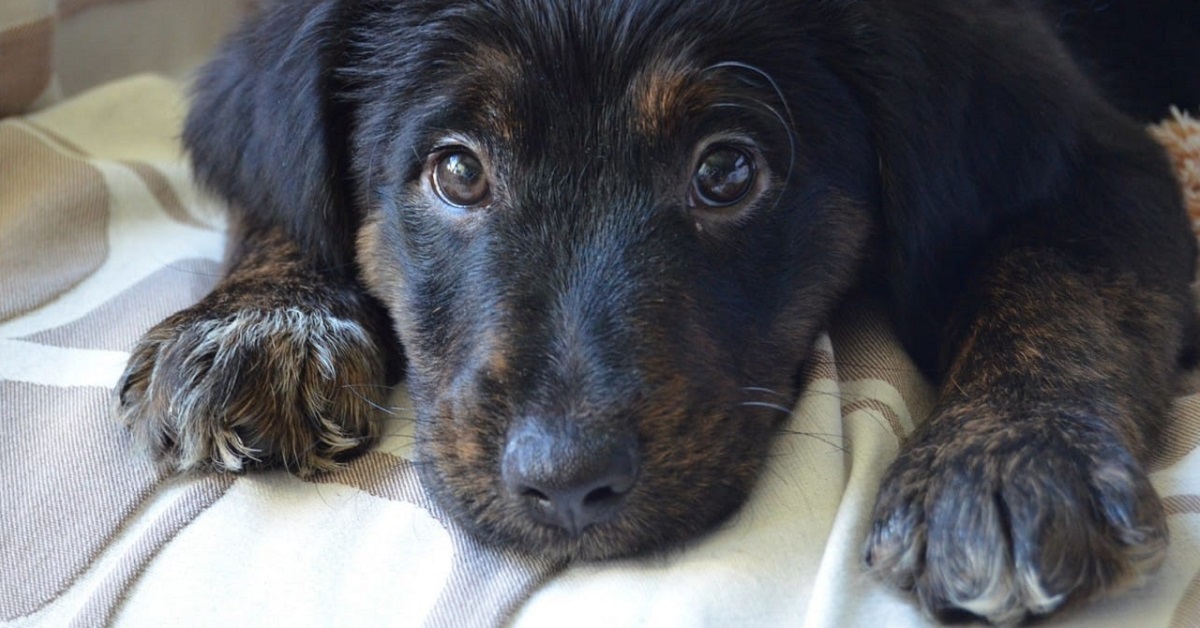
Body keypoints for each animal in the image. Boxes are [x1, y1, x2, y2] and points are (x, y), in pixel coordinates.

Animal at [117, 0, 1200, 624]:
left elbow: (1055, 284)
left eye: (727, 170)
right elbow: (285, 193)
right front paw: (261, 322)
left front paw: (1011, 457)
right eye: (457, 171)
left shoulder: (1097, 156)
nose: (566, 485)